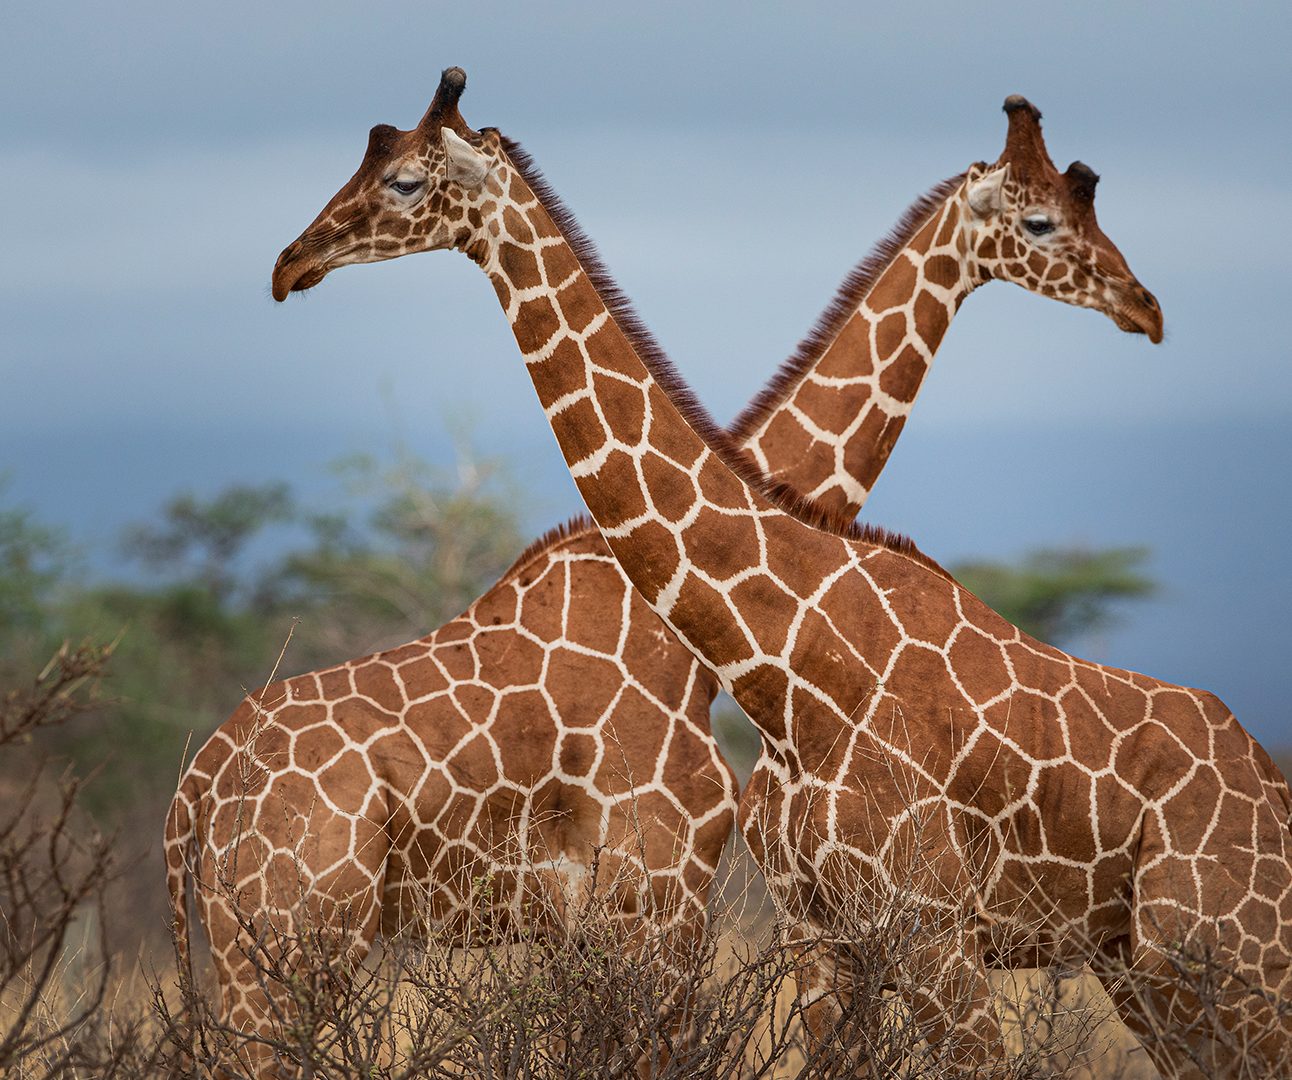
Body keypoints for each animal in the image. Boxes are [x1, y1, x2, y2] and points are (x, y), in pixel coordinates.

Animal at [264, 71, 1292, 1074]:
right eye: (1042, 219)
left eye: (405, 179)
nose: (290, 262)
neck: (789, 670)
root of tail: (1272, 782)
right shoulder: (818, 933)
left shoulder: (919, 928)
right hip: (1155, 969)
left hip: (1217, 955)